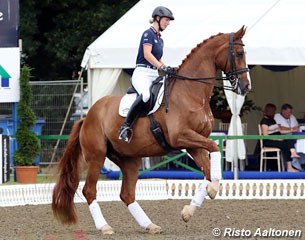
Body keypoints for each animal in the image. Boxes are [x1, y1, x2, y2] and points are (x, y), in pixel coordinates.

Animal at [51, 26, 249, 234]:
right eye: (239, 53)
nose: (245, 86)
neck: (191, 93)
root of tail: (88, 116)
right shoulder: (182, 137)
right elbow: (215, 148)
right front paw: (213, 189)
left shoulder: (194, 143)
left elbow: (209, 171)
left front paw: (189, 210)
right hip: (96, 156)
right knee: (89, 190)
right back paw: (105, 227)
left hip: (129, 160)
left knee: (127, 194)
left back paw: (150, 225)